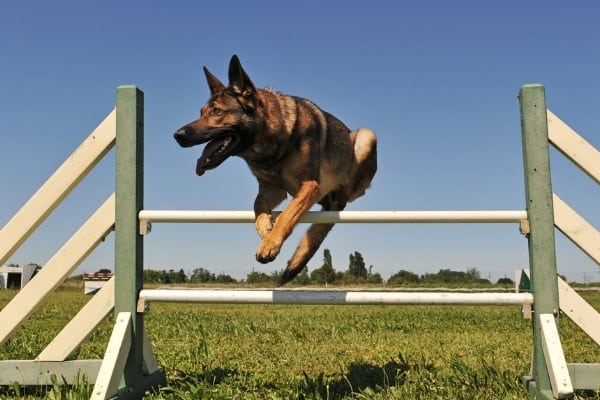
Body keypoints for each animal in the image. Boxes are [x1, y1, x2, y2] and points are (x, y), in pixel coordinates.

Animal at [172, 56, 376, 286]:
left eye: (217, 111)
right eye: (201, 113)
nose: (177, 135)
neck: (272, 144)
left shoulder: (310, 186)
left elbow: (288, 213)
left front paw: (270, 243)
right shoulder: (272, 189)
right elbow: (258, 205)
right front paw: (265, 229)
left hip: (366, 136)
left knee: (346, 191)